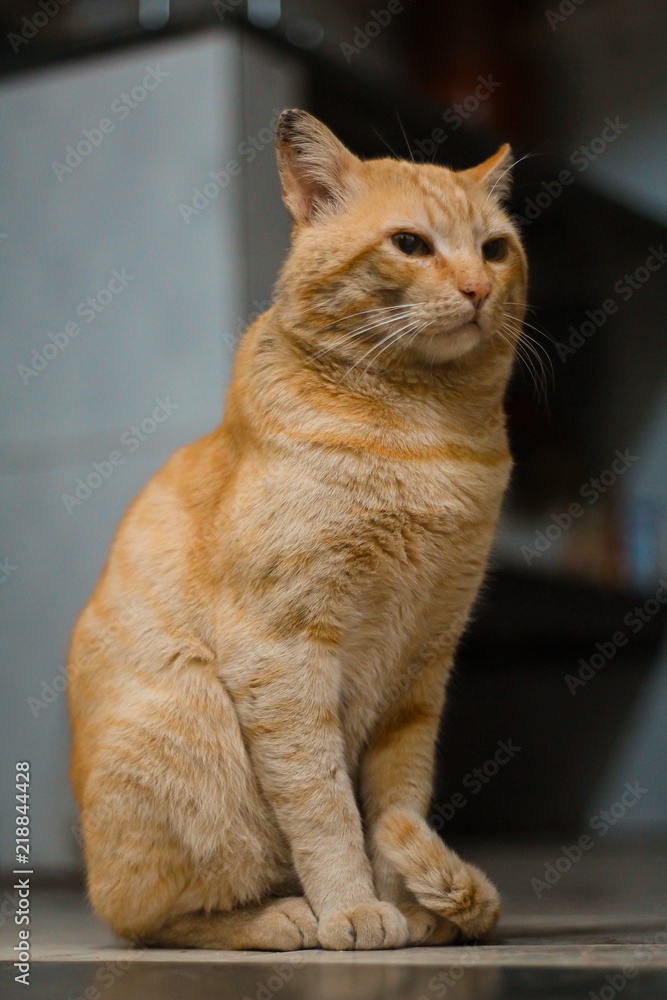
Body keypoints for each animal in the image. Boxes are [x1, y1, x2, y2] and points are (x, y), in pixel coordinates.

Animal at [68, 111, 528, 952]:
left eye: (493, 249)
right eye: (410, 244)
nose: (478, 290)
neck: (427, 436)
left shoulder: (422, 663)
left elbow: (395, 802)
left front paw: (409, 906)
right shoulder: (282, 652)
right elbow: (322, 805)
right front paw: (351, 907)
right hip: (195, 731)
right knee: (146, 918)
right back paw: (282, 917)